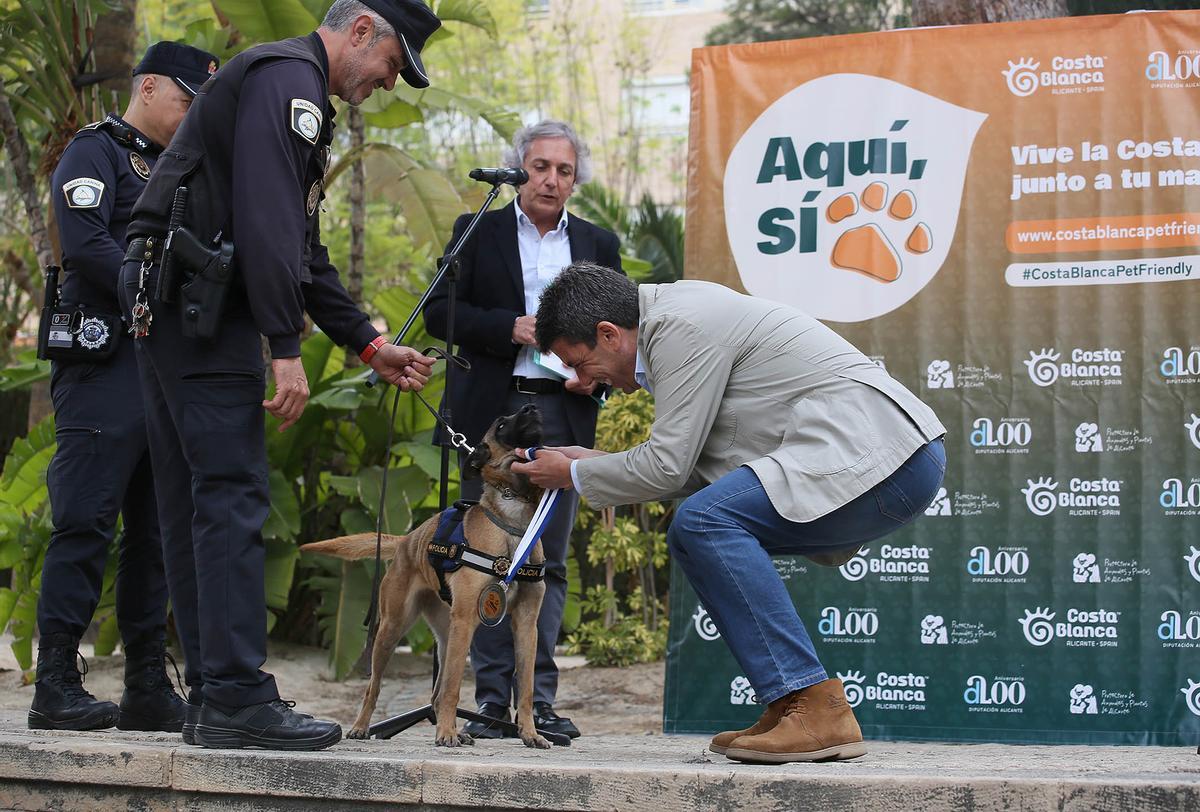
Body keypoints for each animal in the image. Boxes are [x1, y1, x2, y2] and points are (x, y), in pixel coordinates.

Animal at [300, 405, 549, 748]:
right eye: (501, 424)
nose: (532, 406)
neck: (515, 523)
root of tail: (407, 539)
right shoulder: (467, 619)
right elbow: (454, 688)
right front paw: (445, 733)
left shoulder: (526, 625)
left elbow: (525, 687)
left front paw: (530, 733)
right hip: (393, 629)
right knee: (376, 687)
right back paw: (364, 727)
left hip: (447, 638)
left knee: (436, 692)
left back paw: (455, 730)